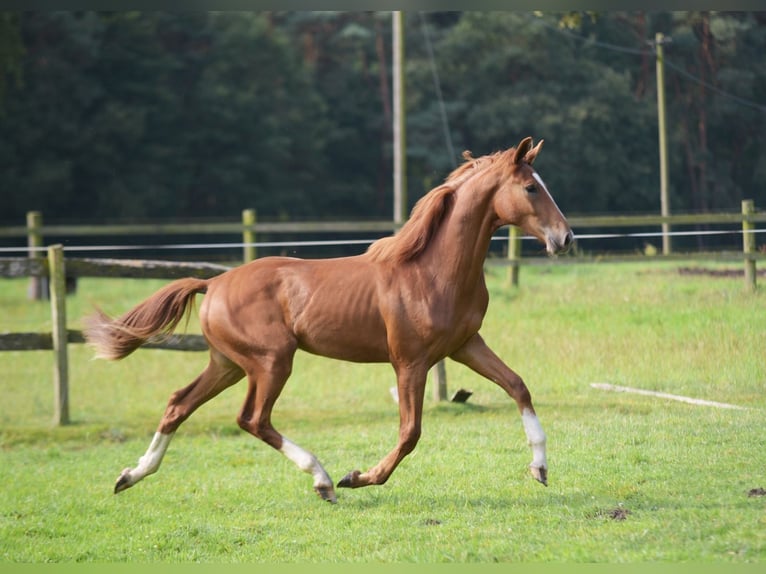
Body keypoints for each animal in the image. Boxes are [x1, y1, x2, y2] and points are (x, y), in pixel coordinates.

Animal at [85, 138, 576, 504]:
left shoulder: (465, 345)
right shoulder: (410, 361)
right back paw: (322, 479)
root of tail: (214, 282)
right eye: (531, 188)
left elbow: (518, 386)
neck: (432, 269)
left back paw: (130, 475)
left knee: (178, 404)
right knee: (252, 418)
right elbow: (410, 432)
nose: (566, 238)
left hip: (228, 364)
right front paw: (357, 477)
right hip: (271, 361)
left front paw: (540, 468)